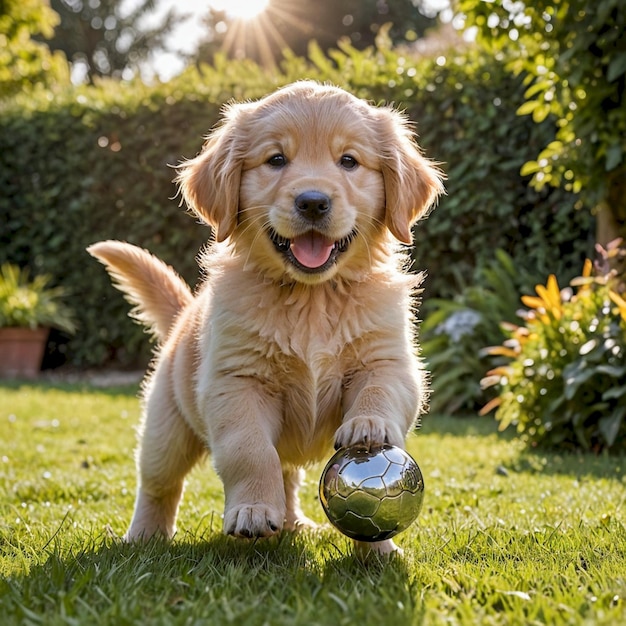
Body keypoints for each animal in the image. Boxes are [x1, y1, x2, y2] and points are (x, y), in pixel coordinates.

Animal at [88, 80, 442, 552]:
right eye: (276, 160)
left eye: (349, 161)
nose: (313, 202)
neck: (312, 297)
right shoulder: (236, 382)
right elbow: (250, 451)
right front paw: (254, 511)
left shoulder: (388, 358)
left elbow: (381, 390)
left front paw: (369, 426)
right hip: (166, 426)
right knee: (159, 483)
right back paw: (145, 537)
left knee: (288, 473)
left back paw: (308, 527)